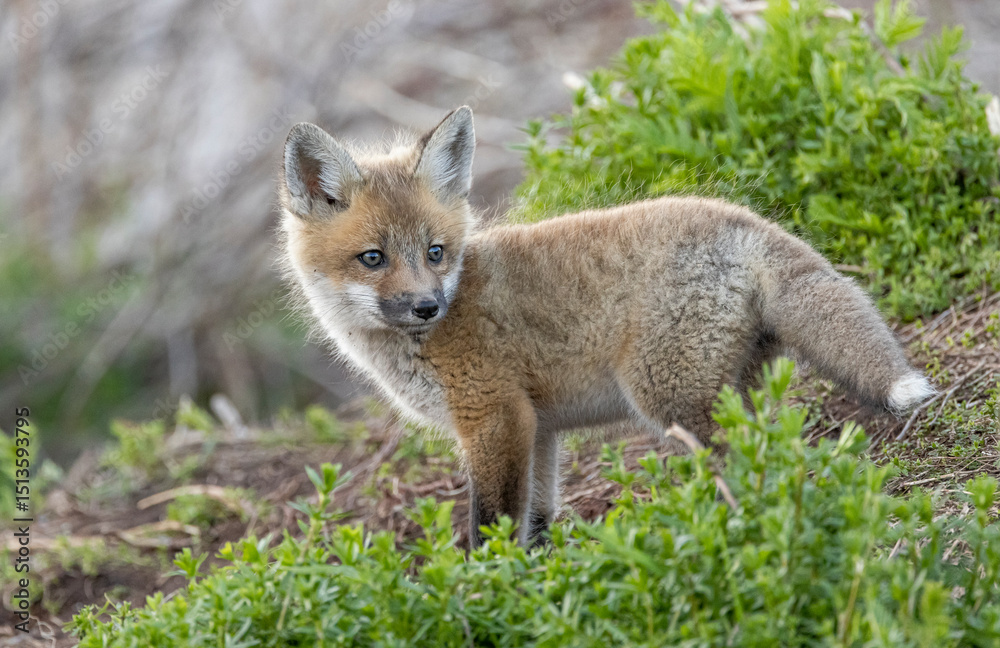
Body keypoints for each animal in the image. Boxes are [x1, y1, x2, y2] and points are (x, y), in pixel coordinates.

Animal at [277, 106, 934, 547]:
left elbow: (491, 527)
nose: (426, 308)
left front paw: (481, 590)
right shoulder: (538, 429)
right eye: (373, 258)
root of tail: (746, 222)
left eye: (435, 252)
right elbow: (538, 523)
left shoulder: (494, 417)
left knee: (746, 467)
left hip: (670, 398)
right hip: (729, 388)